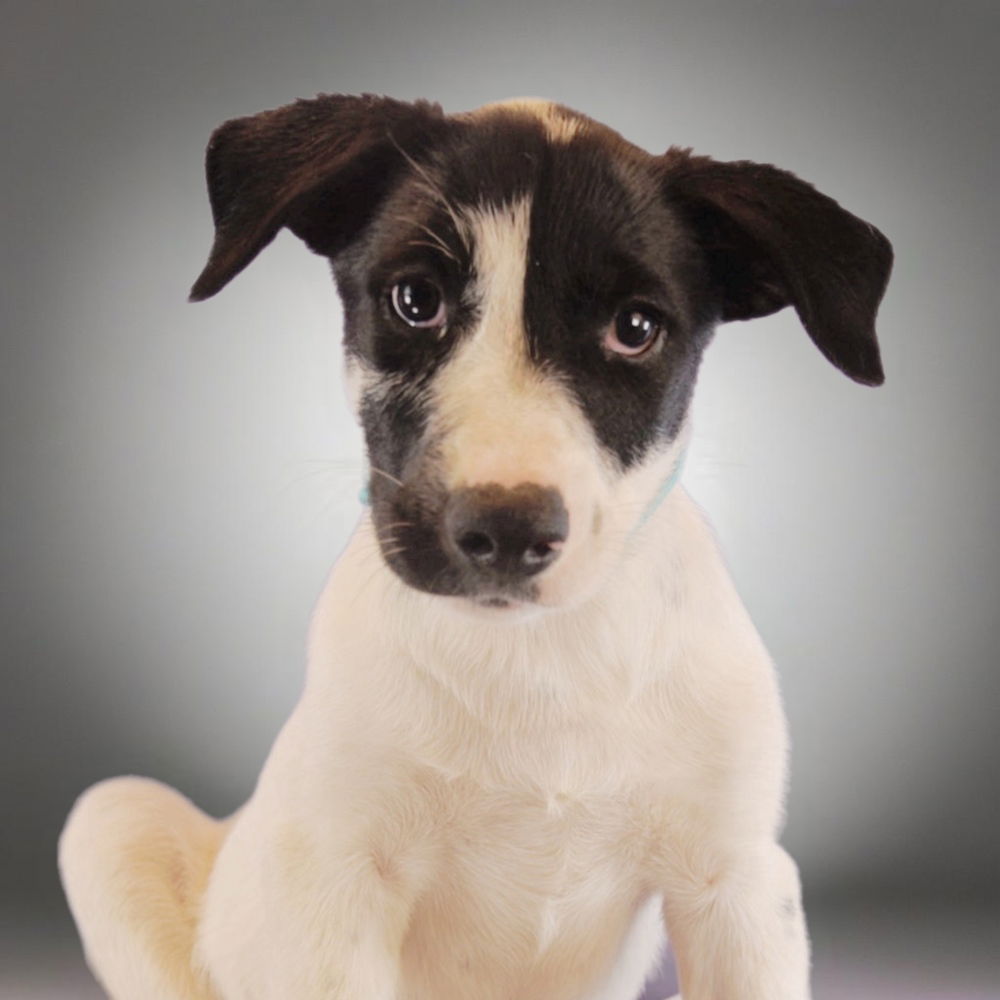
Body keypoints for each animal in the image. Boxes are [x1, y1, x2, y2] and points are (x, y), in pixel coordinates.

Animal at [60, 94, 892, 1000]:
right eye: (414, 299)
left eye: (636, 327)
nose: (508, 531)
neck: (539, 659)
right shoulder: (332, 888)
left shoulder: (737, 885)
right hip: (110, 816)